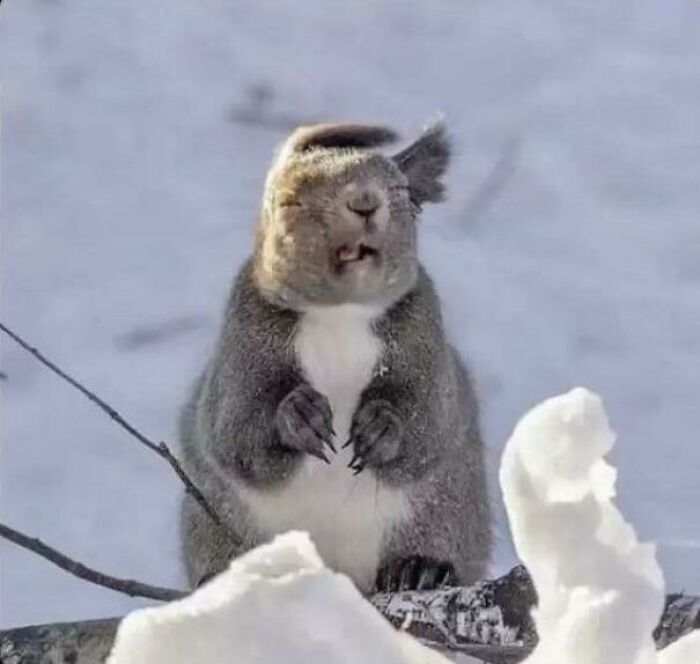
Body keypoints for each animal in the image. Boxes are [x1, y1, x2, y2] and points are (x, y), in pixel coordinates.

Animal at [179, 121, 491, 593]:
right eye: (289, 201)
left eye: (400, 190)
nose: (364, 202)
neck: (340, 315)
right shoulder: (241, 344)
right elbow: (235, 430)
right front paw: (297, 415)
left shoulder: (426, 342)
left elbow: (429, 422)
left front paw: (384, 425)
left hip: (445, 515)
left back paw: (421, 568)